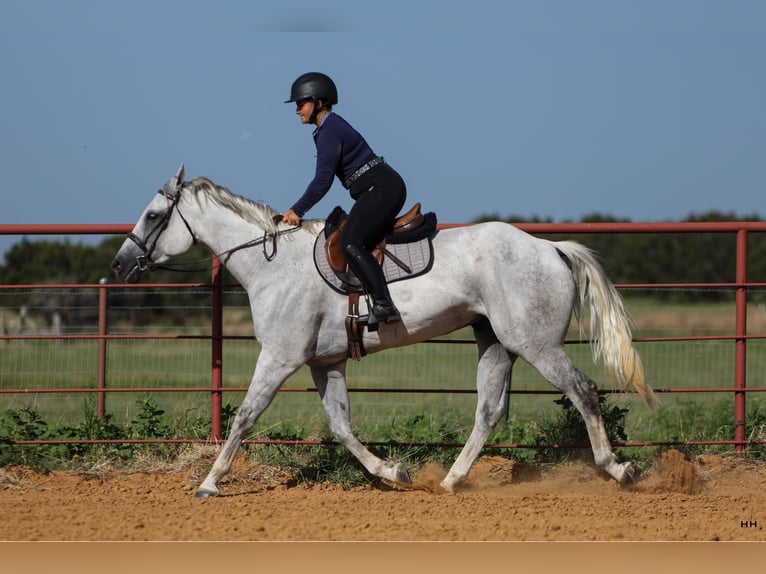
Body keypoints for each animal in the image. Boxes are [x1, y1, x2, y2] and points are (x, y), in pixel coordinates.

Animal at [111, 164, 656, 498]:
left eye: (154, 215)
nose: (120, 265)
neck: (274, 264)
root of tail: (549, 247)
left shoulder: (280, 357)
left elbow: (246, 416)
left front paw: (210, 482)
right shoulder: (324, 362)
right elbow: (341, 427)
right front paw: (393, 472)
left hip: (536, 344)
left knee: (583, 390)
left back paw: (619, 469)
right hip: (495, 342)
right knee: (488, 411)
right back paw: (451, 480)